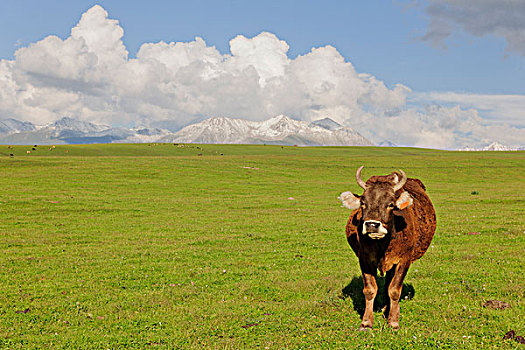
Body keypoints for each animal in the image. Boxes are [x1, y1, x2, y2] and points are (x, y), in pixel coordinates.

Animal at [338, 167, 436, 330]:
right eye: (363, 203)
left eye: (391, 204)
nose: (372, 225)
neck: (382, 244)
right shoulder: (365, 259)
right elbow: (370, 290)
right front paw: (366, 323)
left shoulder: (404, 260)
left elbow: (394, 289)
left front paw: (393, 321)